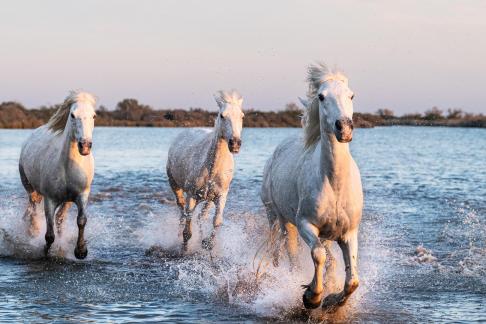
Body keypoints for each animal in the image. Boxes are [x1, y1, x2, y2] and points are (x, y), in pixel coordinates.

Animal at [19, 90, 97, 258]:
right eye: (73, 115)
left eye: (94, 116)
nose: (85, 146)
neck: (67, 167)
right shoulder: (50, 199)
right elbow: (49, 234)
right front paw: (45, 251)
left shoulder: (82, 195)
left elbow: (81, 220)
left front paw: (81, 251)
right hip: (30, 188)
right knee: (33, 211)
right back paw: (32, 232)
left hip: (67, 200)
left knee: (60, 218)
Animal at [167, 90, 245, 252]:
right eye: (222, 116)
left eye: (242, 116)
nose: (235, 144)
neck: (212, 169)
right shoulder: (191, 195)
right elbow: (187, 230)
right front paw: (184, 250)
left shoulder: (221, 195)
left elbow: (217, 221)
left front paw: (208, 244)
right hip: (175, 184)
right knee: (182, 210)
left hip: (208, 199)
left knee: (200, 216)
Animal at [262, 62, 360, 308]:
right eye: (321, 96)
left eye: (351, 95)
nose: (344, 128)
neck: (334, 185)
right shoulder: (305, 223)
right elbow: (318, 255)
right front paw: (312, 297)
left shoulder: (349, 233)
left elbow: (352, 279)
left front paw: (333, 300)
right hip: (279, 218)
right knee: (290, 252)